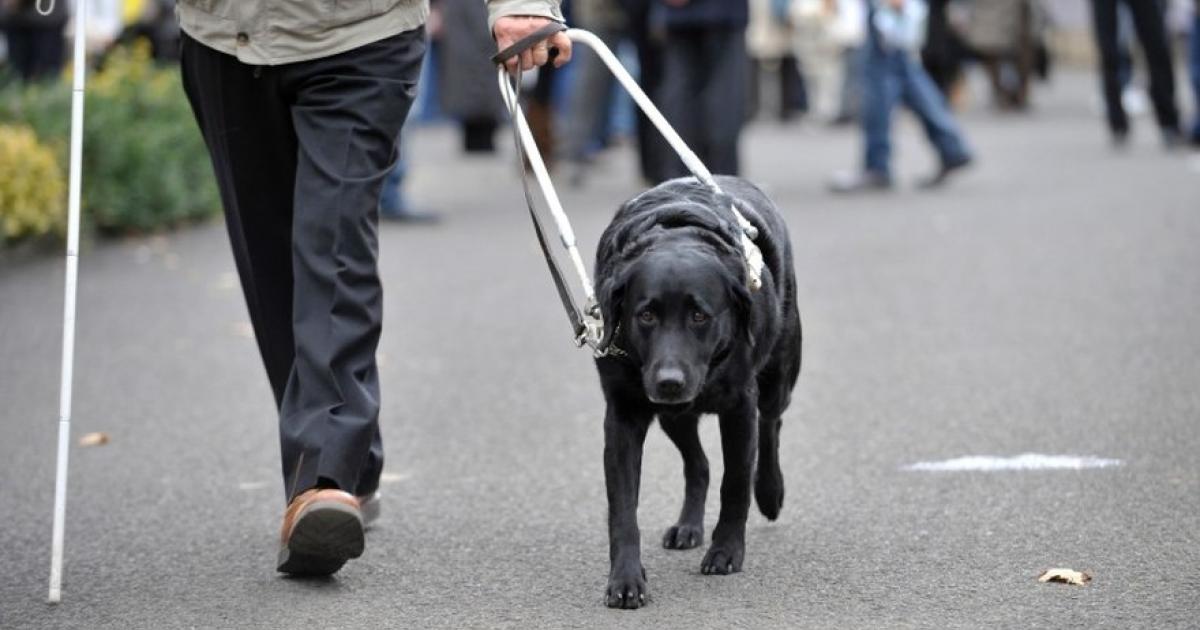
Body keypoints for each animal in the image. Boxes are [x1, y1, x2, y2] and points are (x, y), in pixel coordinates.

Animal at [592, 174, 801, 607]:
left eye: (700, 316)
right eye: (646, 314)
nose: (669, 381)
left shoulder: (739, 407)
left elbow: (735, 482)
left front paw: (726, 552)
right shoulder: (623, 414)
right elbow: (623, 508)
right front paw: (625, 579)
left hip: (778, 375)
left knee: (771, 425)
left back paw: (770, 492)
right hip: (673, 414)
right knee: (699, 463)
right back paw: (688, 526)